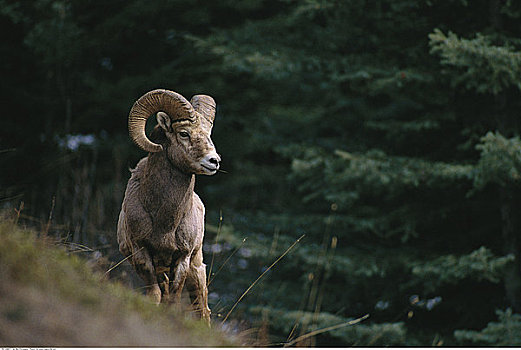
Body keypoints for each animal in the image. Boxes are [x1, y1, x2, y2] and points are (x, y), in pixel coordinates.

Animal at [117, 89, 219, 324]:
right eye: (184, 133)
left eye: (208, 133)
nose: (214, 161)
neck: (164, 224)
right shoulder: (142, 254)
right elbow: (156, 296)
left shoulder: (182, 259)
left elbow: (172, 301)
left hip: (196, 269)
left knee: (202, 308)